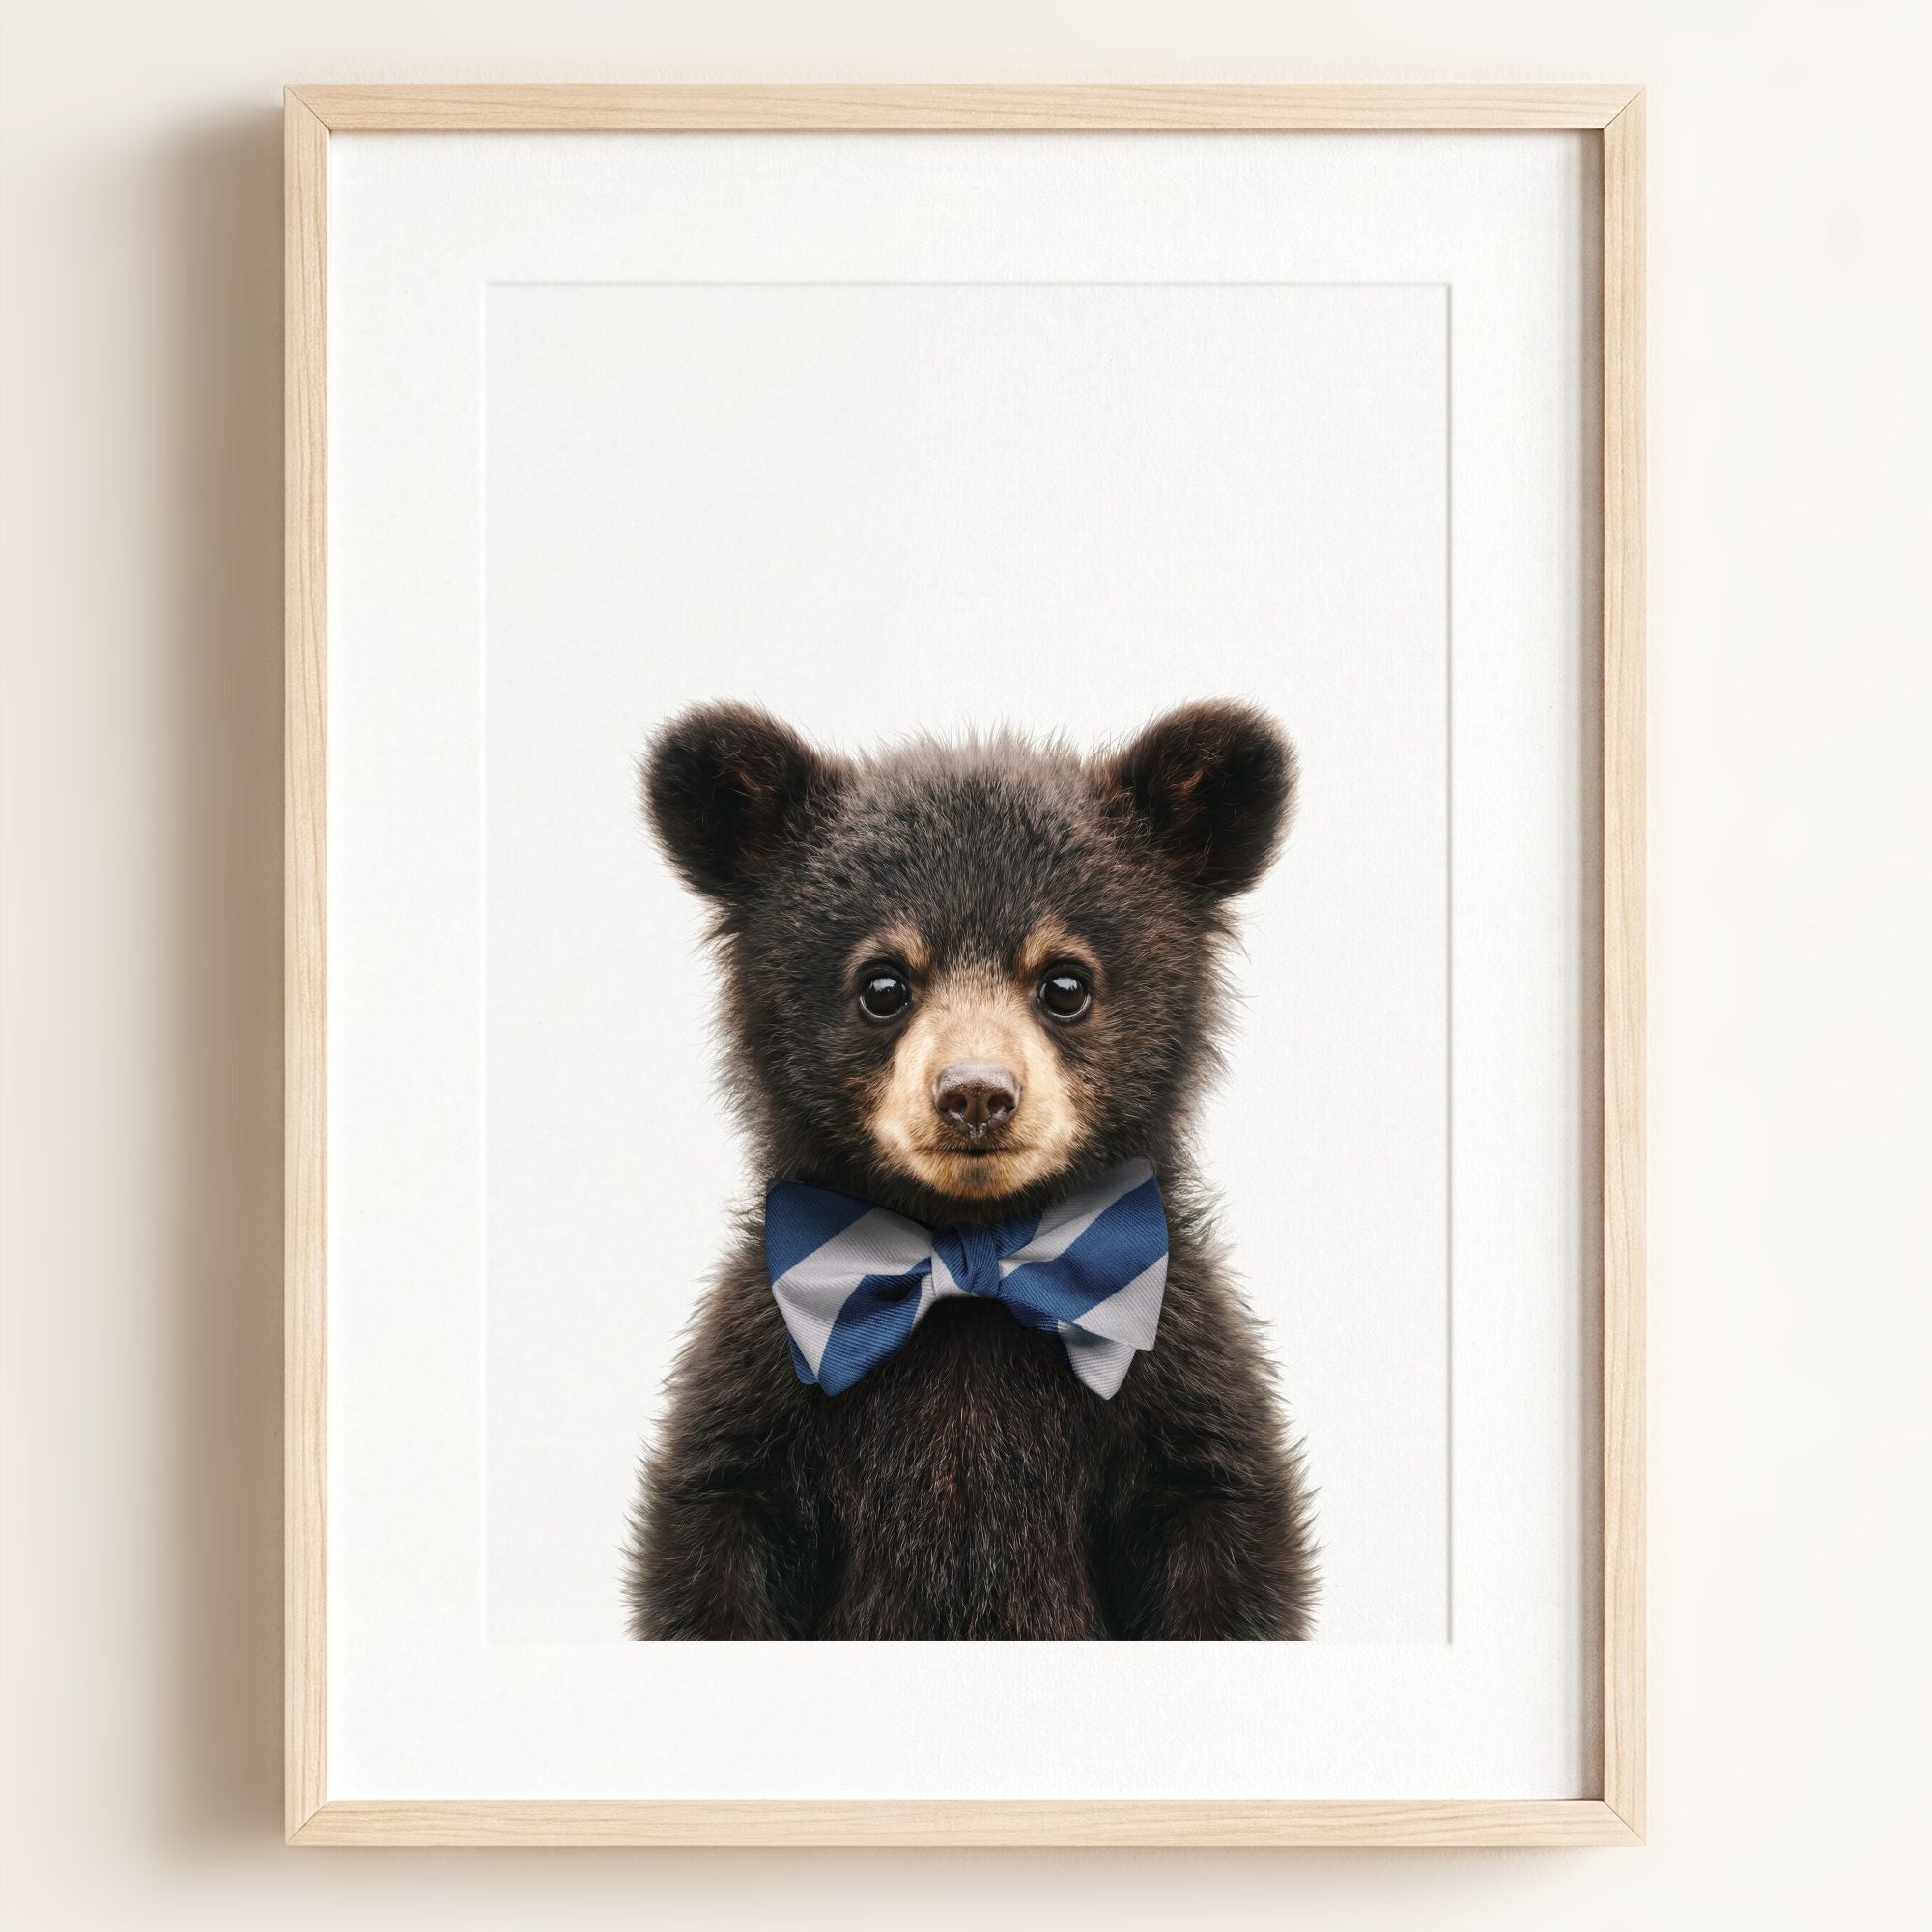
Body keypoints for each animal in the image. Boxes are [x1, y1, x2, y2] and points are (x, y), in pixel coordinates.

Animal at [624, 700, 1316, 1640]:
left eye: (1065, 983)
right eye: (883, 985)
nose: (977, 1095)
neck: (971, 1254)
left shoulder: (1181, 1382)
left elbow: (1223, 1544)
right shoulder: (758, 1387)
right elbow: (715, 1545)